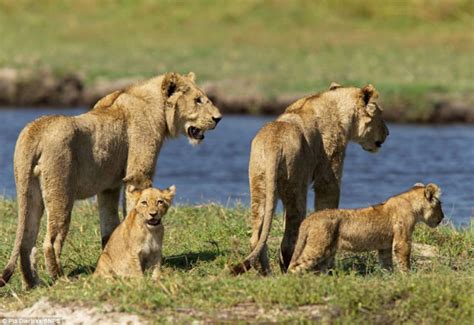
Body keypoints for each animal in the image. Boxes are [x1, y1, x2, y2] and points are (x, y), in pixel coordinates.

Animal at [0, 71, 222, 286]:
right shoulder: (138, 174)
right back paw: (59, 279)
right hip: (60, 191)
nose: (218, 118)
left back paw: (32, 284)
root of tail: (35, 131)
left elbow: (109, 226)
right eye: (198, 100)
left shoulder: (109, 186)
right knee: (50, 241)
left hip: (29, 192)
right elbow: (133, 209)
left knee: (26, 242)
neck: (155, 106)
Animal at [232, 81, 388, 274]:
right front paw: (329, 267)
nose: (388, 133)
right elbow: (327, 204)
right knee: (289, 240)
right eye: (381, 115)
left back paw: (264, 272)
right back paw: (288, 269)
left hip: (259, 186)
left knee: (257, 236)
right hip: (296, 187)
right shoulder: (329, 173)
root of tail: (274, 145)